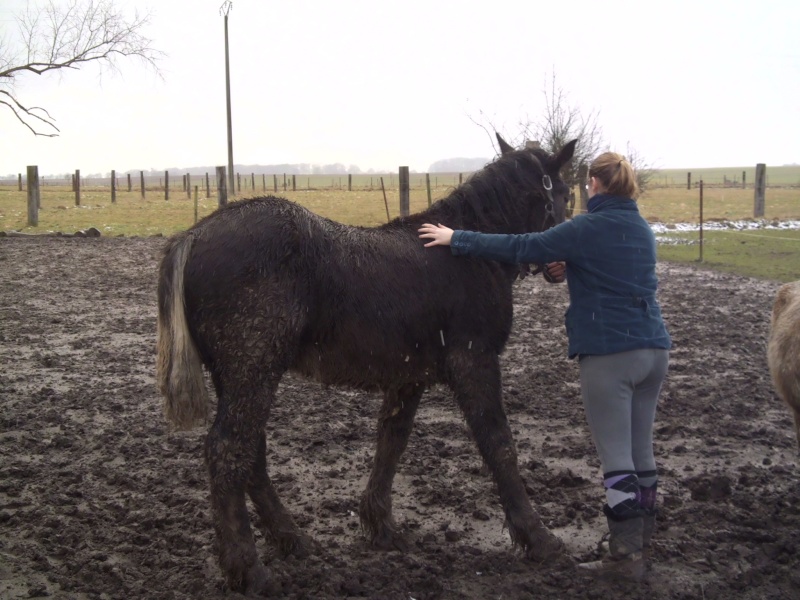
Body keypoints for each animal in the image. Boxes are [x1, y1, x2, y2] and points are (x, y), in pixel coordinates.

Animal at [156, 134, 580, 592]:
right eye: (564, 191)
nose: (560, 266)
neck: (466, 251)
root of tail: (192, 235)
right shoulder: (474, 361)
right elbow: (499, 445)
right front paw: (539, 538)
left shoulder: (408, 377)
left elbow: (391, 442)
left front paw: (381, 527)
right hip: (252, 372)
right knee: (228, 450)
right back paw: (249, 570)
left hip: (236, 377)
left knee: (251, 453)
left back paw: (292, 539)